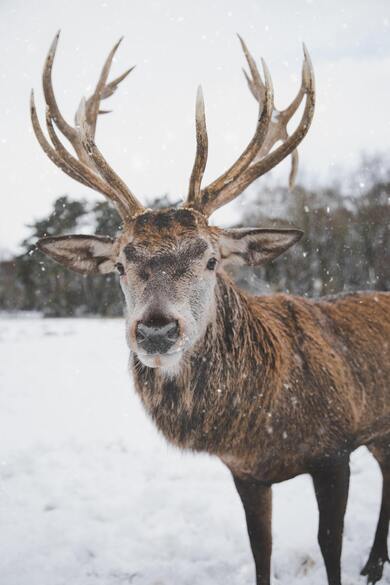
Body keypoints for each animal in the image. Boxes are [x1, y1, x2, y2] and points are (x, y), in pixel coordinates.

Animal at [31, 34, 390, 584]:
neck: (266, 422)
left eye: (211, 259)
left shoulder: (335, 449)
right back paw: (373, 562)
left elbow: (329, 546)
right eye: (120, 265)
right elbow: (260, 548)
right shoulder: (245, 472)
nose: (156, 330)